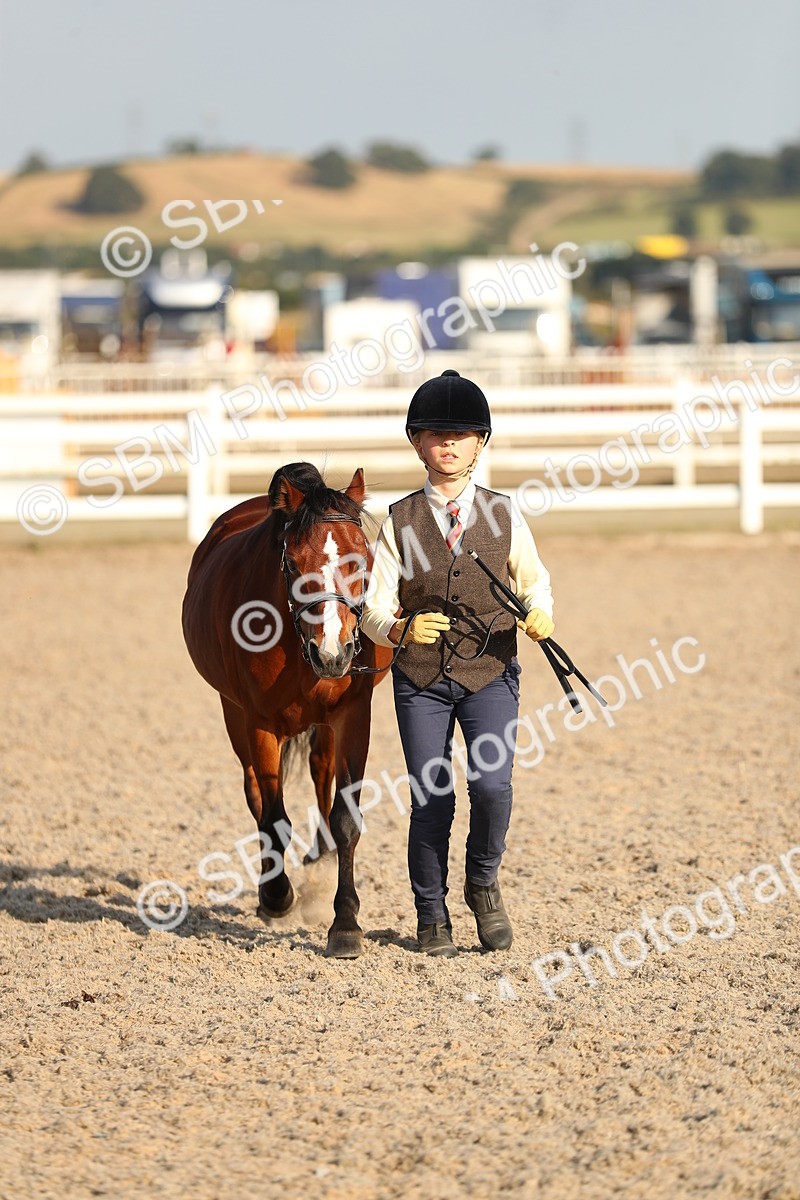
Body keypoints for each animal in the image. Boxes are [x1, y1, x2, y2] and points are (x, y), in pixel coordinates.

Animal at [181, 462, 394, 958]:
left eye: (362, 560)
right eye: (294, 564)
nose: (333, 654)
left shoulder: (354, 715)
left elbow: (345, 817)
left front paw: (345, 922)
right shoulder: (258, 723)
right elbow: (274, 818)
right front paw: (276, 896)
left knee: (321, 772)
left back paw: (320, 855)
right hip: (234, 715)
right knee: (256, 794)